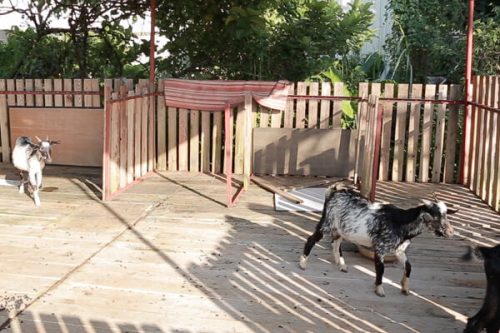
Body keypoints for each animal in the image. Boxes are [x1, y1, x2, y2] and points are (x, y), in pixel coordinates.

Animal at [298, 184, 458, 296]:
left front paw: (405, 287)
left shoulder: (399, 250)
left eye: (446, 215)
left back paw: (342, 264)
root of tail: (334, 191)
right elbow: (381, 269)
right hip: (327, 224)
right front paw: (379, 289)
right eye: (436, 216)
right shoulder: (380, 248)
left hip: (341, 230)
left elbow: (408, 267)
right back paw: (303, 263)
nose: (450, 232)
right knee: (311, 239)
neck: (401, 223)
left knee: (336, 243)